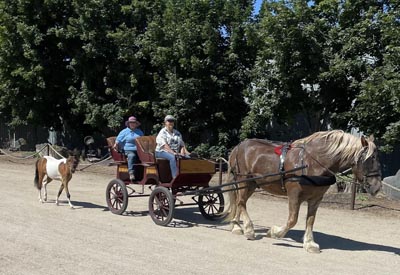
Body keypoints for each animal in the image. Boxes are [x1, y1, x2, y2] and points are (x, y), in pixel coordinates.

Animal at [225, 130, 382, 253]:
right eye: (370, 159)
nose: (377, 187)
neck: (312, 162)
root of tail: (238, 146)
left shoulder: (316, 198)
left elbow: (310, 220)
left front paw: (309, 243)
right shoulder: (294, 195)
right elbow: (292, 220)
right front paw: (275, 232)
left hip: (251, 184)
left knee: (239, 203)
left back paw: (237, 226)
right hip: (244, 181)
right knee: (241, 202)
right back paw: (249, 230)